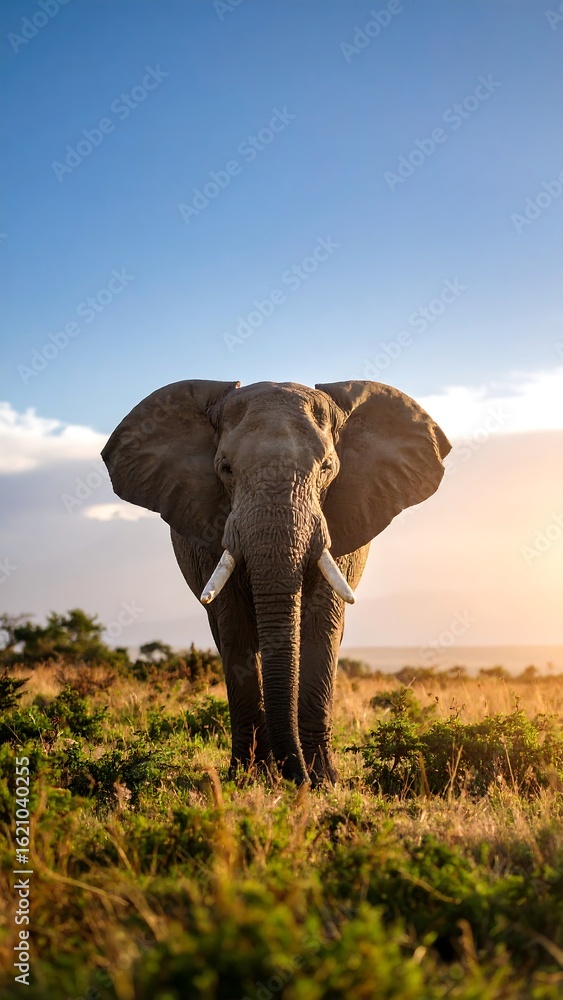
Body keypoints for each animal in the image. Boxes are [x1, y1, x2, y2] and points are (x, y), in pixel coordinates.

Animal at [102, 379, 451, 787]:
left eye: (327, 468)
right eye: (225, 469)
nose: (294, 776)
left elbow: (322, 626)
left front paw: (323, 781)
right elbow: (234, 628)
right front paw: (247, 778)